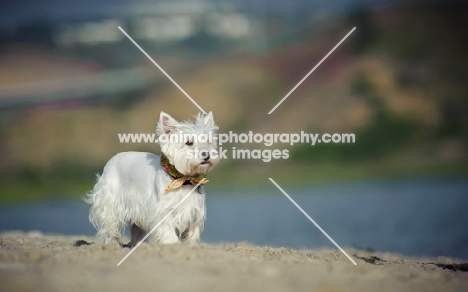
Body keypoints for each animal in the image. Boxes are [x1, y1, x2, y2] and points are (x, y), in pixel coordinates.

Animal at [85, 111, 219, 246]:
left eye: (208, 141)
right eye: (189, 142)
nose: (206, 155)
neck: (184, 180)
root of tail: (112, 159)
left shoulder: (195, 210)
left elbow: (192, 231)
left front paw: (191, 245)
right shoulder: (163, 210)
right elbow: (167, 227)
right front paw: (172, 243)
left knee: (135, 229)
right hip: (110, 201)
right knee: (110, 224)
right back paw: (111, 244)